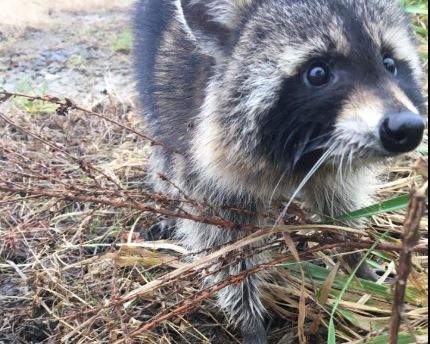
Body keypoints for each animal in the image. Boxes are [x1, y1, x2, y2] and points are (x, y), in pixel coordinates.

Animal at [134, 1, 426, 342]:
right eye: (317, 73)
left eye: (389, 63)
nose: (406, 128)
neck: (309, 152)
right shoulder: (200, 155)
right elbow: (224, 243)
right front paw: (248, 318)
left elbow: (341, 205)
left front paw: (357, 260)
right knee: (162, 145)